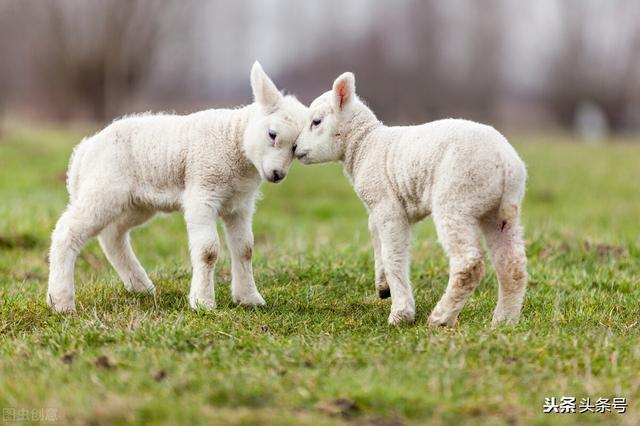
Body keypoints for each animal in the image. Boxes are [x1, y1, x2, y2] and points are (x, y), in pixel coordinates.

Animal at [46, 61, 306, 312]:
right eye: (272, 134)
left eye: (295, 148)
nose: (277, 174)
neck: (234, 140)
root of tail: (83, 151)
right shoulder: (202, 193)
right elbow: (208, 251)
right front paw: (203, 302)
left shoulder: (240, 204)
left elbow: (245, 249)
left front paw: (249, 299)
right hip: (103, 188)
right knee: (67, 231)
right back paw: (61, 301)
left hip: (136, 203)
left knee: (112, 236)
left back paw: (141, 287)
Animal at [292, 72, 528, 326]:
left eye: (316, 122)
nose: (294, 147)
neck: (365, 145)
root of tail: (507, 163)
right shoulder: (379, 207)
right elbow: (376, 239)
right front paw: (383, 286)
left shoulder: (387, 206)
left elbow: (393, 255)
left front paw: (401, 313)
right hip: (497, 212)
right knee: (512, 265)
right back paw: (503, 322)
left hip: (457, 198)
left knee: (469, 264)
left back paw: (441, 318)